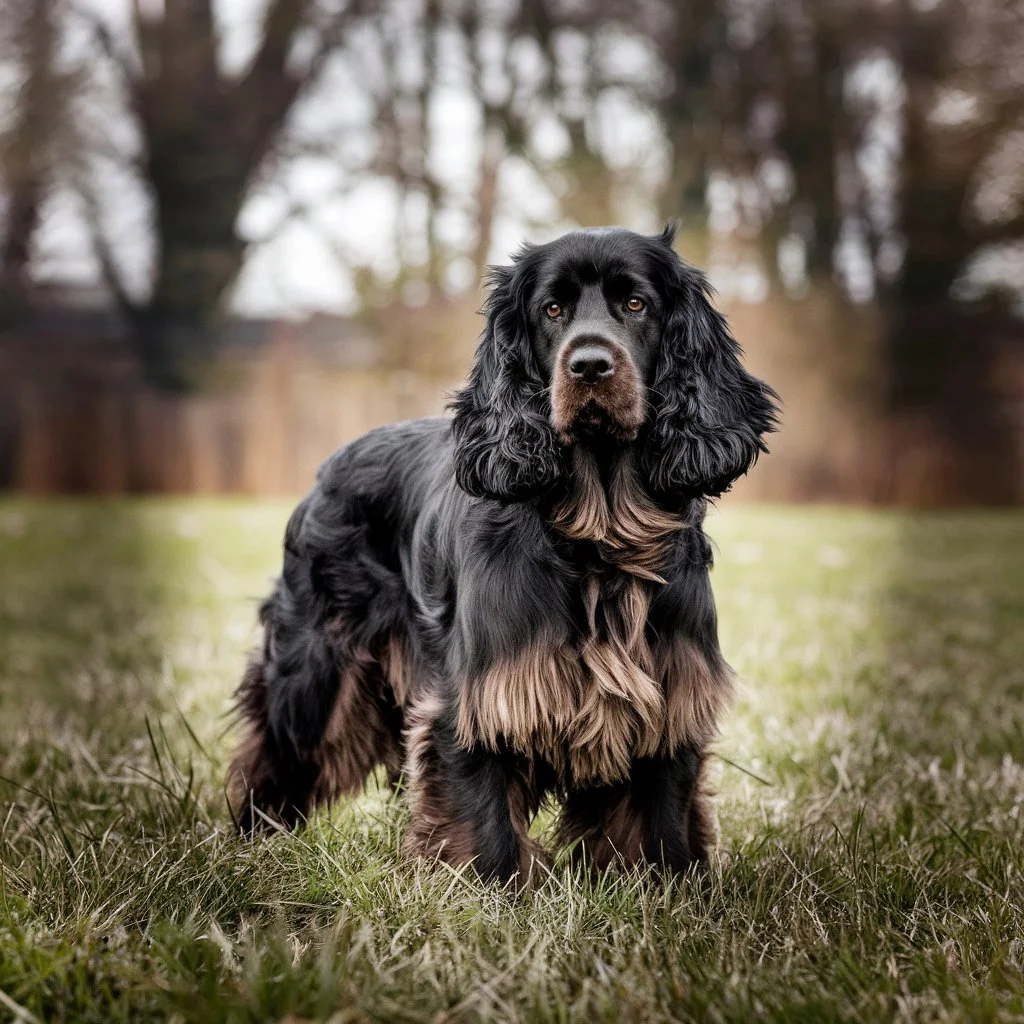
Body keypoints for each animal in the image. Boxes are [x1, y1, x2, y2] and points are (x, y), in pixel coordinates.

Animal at [230, 224, 774, 880]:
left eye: (635, 303)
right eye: (552, 309)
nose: (589, 365)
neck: (599, 534)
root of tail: (327, 467)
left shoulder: (672, 701)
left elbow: (661, 829)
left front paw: (672, 891)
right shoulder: (474, 701)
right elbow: (486, 832)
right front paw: (492, 894)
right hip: (313, 673)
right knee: (273, 757)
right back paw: (250, 847)